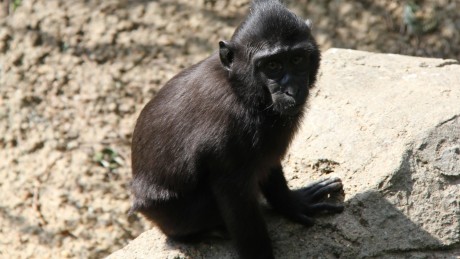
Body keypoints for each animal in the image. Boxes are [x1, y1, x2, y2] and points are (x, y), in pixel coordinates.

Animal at [128, 1, 342, 258]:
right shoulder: (229, 133)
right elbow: (238, 203)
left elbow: (268, 165)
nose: (292, 90)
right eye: (272, 65)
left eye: (298, 59)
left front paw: (293, 203)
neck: (241, 91)